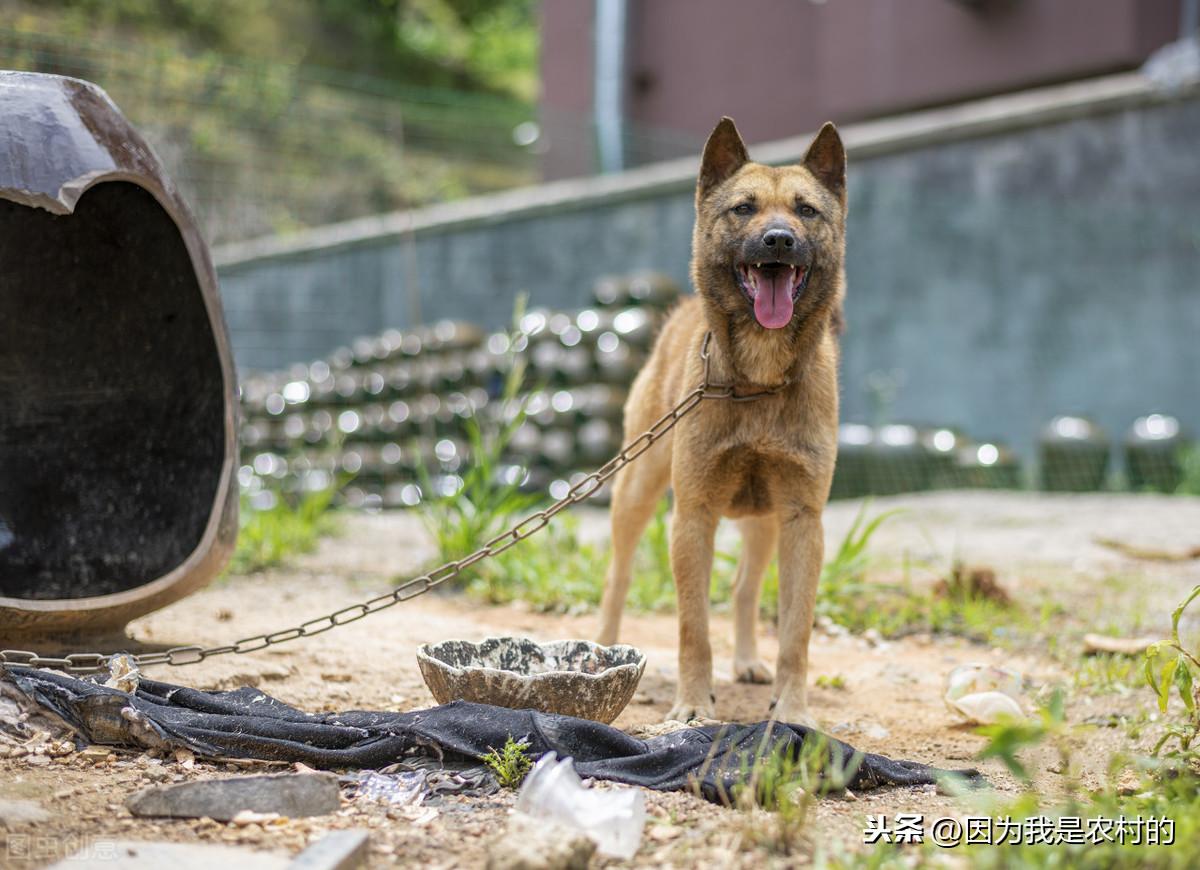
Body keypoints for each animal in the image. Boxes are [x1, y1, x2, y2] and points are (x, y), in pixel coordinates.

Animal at [597, 117, 844, 724]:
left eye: (806, 210)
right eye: (743, 208)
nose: (777, 239)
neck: (757, 379)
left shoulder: (802, 520)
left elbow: (796, 633)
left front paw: (793, 708)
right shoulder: (693, 516)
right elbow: (693, 627)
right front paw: (692, 703)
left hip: (765, 521)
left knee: (742, 588)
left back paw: (751, 662)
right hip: (636, 490)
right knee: (618, 576)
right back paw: (600, 647)